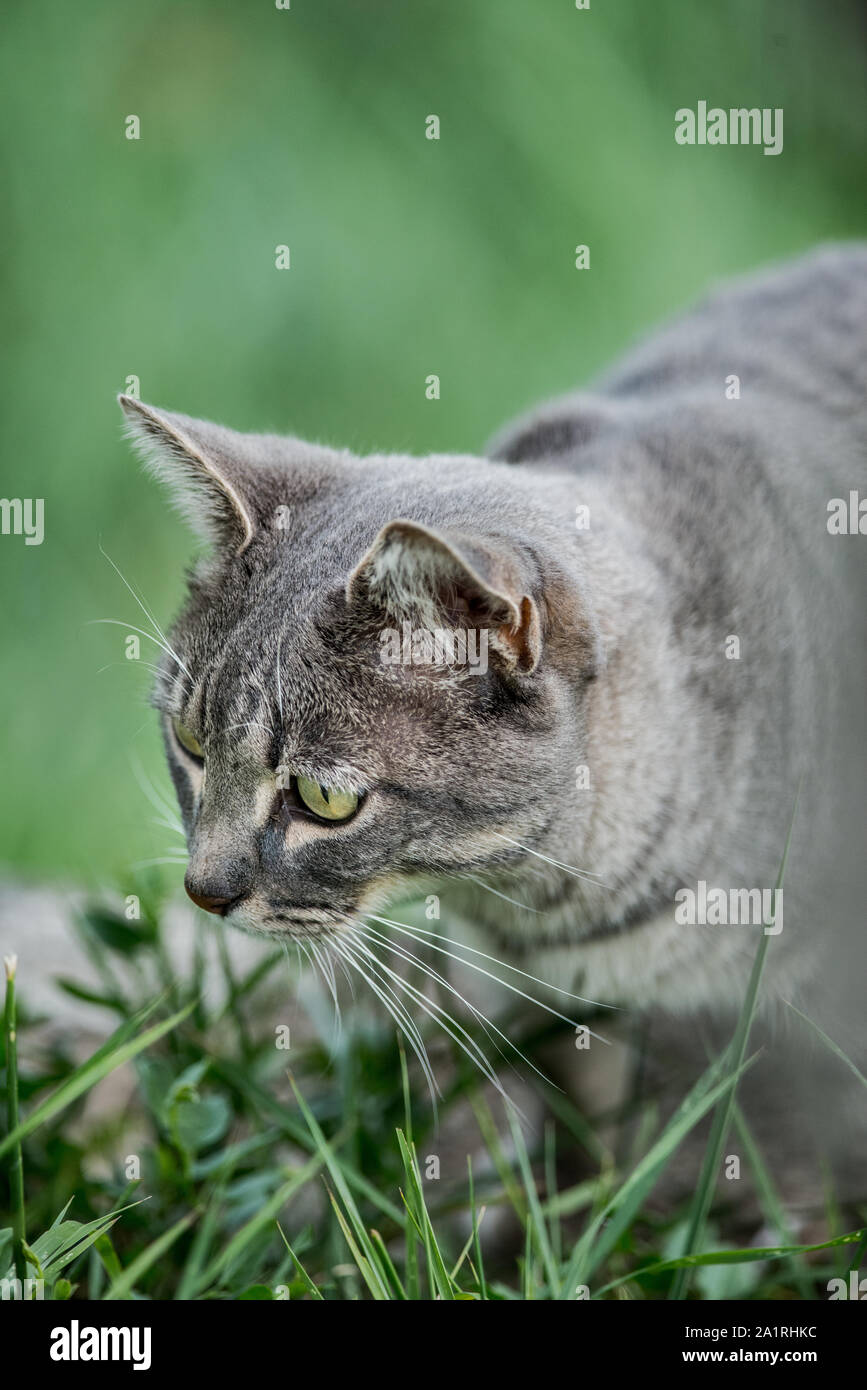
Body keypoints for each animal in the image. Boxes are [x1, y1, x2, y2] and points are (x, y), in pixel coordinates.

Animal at [120, 244, 867, 1212]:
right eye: (193, 746)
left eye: (324, 798)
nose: (203, 892)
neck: (551, 915)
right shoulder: (538, 1009)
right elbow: (586, 1143)